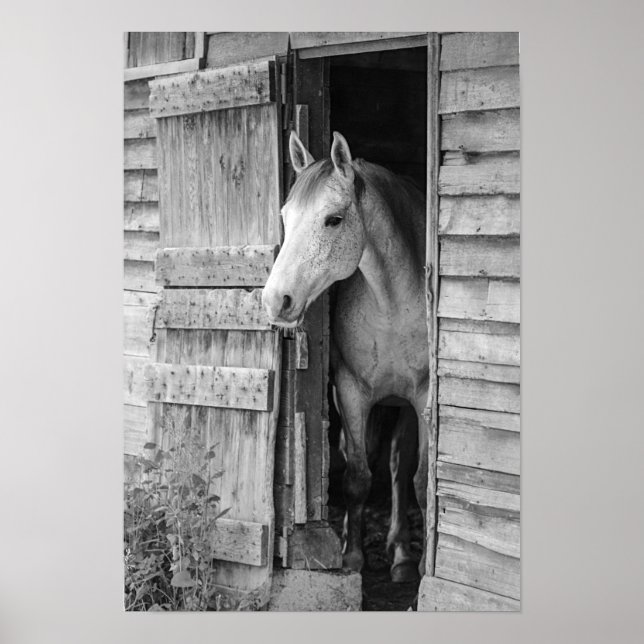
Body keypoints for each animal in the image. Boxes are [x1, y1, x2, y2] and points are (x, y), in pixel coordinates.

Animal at [262, 131, 430, 582]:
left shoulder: (423, 396)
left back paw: (401, 553)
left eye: (333, 220)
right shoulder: (351, 391)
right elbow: (356, 477)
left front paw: (422, 565)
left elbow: (421, 480)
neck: (391, 303)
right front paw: (351, 557)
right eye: (285, 217)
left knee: (398, 467)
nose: (275, 300)